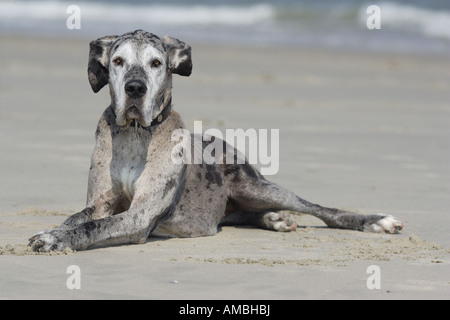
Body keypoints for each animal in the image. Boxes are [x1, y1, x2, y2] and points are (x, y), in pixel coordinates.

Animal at [28, 29, 402, 252]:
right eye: (118, 61)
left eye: (156, 62)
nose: (135, 88)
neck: (136, 134)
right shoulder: (101, 202)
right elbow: (80, 219)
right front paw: (58, 230)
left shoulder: (139, 216)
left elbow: (94, 227)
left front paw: (55, 238)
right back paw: (273, 219)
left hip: (257, 186)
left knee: (323, 210)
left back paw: (372, 221)